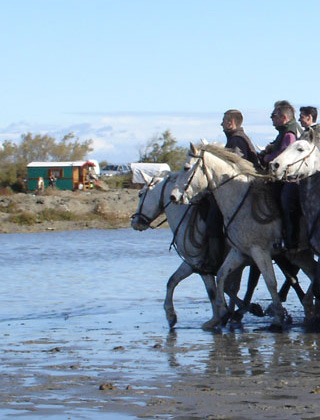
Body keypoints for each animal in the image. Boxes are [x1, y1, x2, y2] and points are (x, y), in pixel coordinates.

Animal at [171, 143, 316, 330]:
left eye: (186, 167)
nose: (173, 196)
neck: (241, 199)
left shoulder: (259, 251)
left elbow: (270, 282)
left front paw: (278, 317)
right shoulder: (240, 252)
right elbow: (222, 275)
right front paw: (221, 314)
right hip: (301, 253)